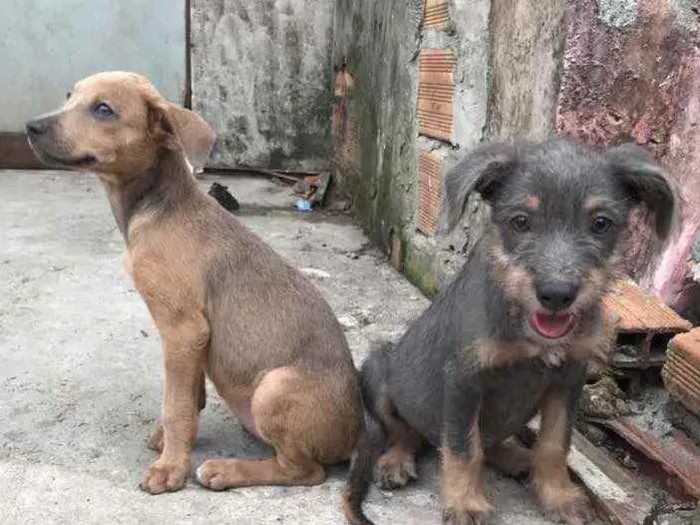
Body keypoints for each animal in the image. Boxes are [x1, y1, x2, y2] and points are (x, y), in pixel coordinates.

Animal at [24, 72, 364, 496]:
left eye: (104, 109)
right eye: (69, 96)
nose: (30, 127)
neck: (156, 206)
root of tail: (357, 434)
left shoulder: (182, 329)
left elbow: (176, 406)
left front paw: (170, 467)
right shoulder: (194, 336)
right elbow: (190, 397)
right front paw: (174, 442)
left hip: (274, 389)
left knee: (306, 472)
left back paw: (225, 470)